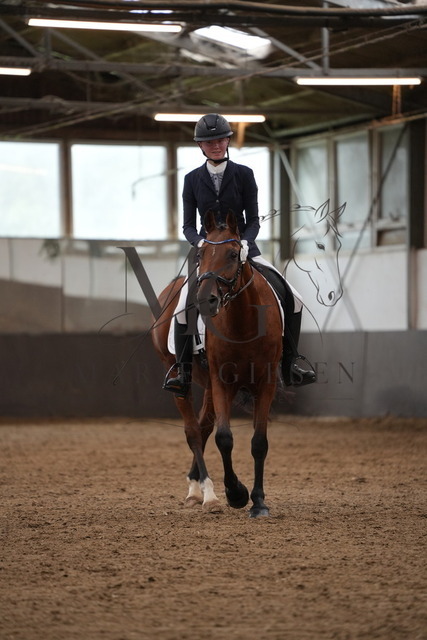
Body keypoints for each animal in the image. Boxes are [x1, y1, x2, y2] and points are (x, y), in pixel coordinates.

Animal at [151, 210, 283, 517]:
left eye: (234, 254)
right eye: (201, 255)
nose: (205, 301)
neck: (244, 322)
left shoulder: (265, 382)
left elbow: (259, 442)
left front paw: (258, 502)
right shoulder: (222, 381)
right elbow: (224, 438)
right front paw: (236, 493)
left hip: (210, 384)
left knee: (203, 427)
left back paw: (196, 488)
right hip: (181, 377)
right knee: (193, 432)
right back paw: (207, 494)